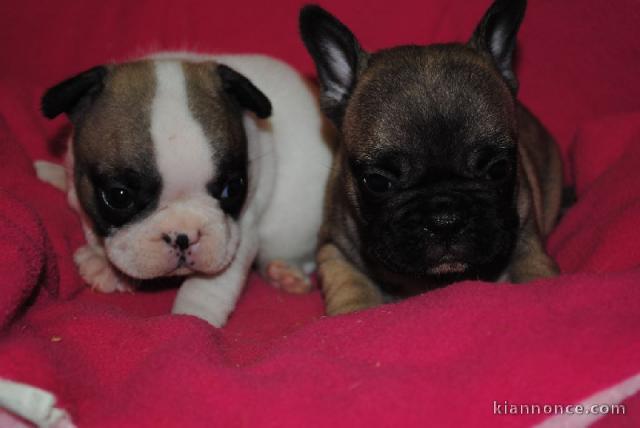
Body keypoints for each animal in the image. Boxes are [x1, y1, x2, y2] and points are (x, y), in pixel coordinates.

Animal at [37, 55, 332, 326]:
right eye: (119, 197)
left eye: (232, 188)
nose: (182, 236)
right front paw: (103, 262)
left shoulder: (239, 232)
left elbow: (210, 285)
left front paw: (193, 317)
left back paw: (287, 276)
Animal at [298, 0, 564, 314]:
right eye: (377, 182)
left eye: (498, 169)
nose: (445, 220)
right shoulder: (334, 249)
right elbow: (351, 286)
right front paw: (355, 310)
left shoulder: (525, 234)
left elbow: (535, 271)